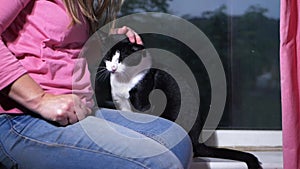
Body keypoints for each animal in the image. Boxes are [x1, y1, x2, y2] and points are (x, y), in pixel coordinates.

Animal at [95, 35, 262, 168]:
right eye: (109, 58)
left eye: (122, 59)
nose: (113, 67)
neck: (123, 81)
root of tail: (197, 141)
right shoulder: (120, 103)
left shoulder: (144, 101)